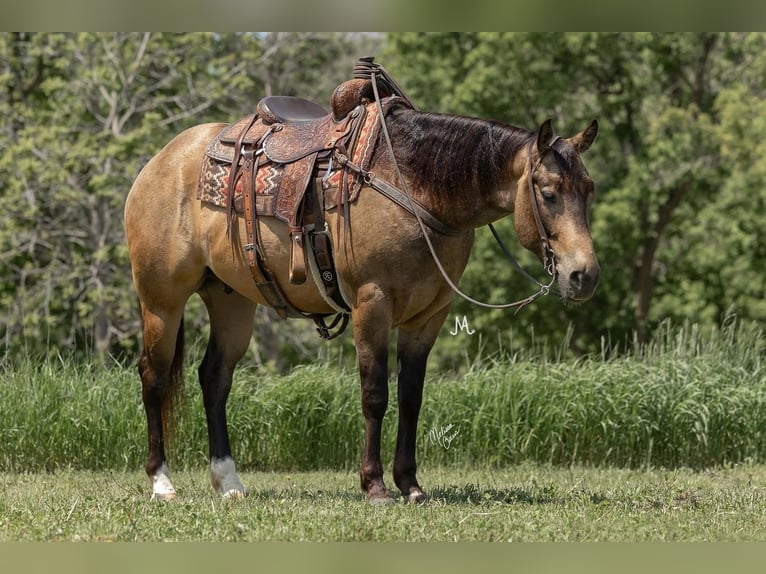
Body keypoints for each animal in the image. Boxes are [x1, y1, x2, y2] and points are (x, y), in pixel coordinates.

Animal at [124, 59, 600, 504]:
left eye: (588, 190)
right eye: (549, 193)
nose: (584, 275)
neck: (414, 187)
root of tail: (161, 161)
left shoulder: (428, 316)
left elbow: (411, 397)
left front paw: (410, 485)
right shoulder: (372, 305)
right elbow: (375, 394)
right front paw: (374, 485)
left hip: (231, 301)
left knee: (214, 379)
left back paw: (229, 482)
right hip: (161, 301)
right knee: (154, 377)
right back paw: (161, 482)